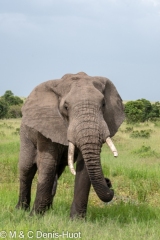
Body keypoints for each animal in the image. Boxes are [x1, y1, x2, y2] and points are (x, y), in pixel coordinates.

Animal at [15, 71, 124, 218]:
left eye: (103, 104)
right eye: (66, 107)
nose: (109, 183)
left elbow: (84, 168)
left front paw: (76, 220)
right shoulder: (46, 126)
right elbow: (47, 164)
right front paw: (35, 217)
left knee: (57, 170)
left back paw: (49, 210)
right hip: (25, 134)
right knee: (26, 168)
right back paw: (21, 210)